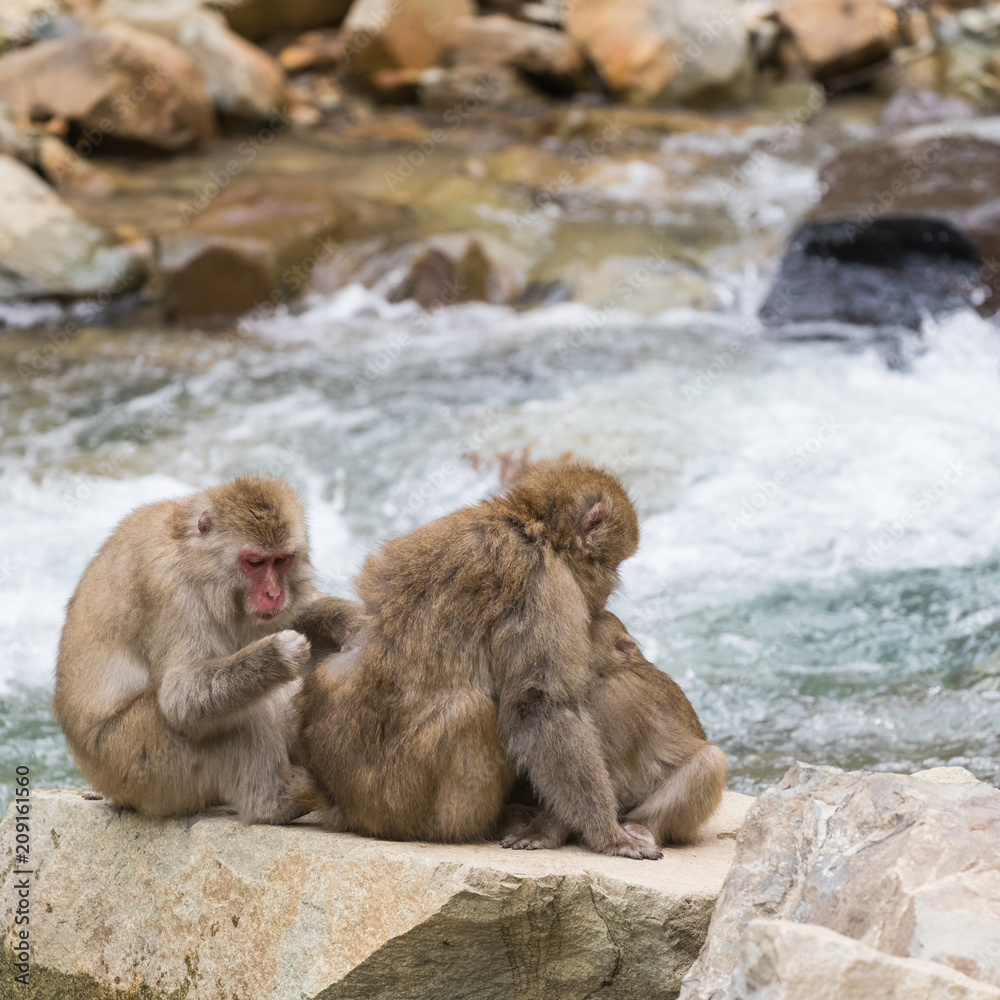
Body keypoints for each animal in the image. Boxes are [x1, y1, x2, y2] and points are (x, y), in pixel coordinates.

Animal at [53, 474, 360, 820]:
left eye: (282, 560)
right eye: (255, 562)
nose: (273, 594)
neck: (192, 554)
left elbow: (296, 612)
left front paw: (349, 620)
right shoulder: (172, 590)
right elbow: (179, 696)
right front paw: (277, 654)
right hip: (135, 762)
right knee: (242, 711)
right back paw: (277, 803)